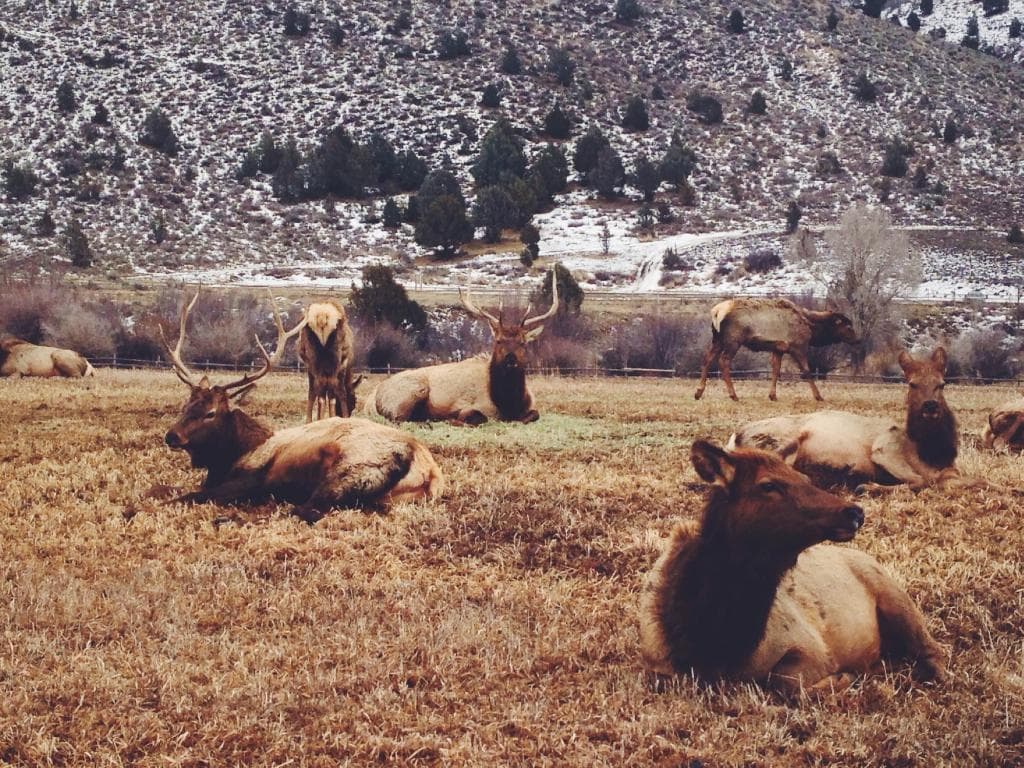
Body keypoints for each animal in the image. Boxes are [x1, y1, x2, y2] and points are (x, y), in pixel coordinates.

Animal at [160, 288, 444, 524]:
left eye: (210, 413)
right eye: (187, 404)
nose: (172, 435)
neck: (236, 453)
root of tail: (427, 472)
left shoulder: (251, 479)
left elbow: (188, 495)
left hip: (348, 472)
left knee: (305, 511)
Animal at [370, 272, 559, 426]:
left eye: (522, 342)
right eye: (498, 341)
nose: (510, 359)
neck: (508, 403)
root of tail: (373, 398)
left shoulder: (531, 407)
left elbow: (535, 414)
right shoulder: (469, 405)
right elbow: (476, 416)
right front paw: (451, 419)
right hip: (411, 392)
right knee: (399, 418)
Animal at [639, 440, 947, 695]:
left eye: (804, 478)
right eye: (767, 485)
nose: (854, 512)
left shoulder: (812, 648)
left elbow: (784, 680)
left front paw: (844, 678)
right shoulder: (659, 667)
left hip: (898, 600)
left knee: (935, 650)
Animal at [693, 298, 859, 402]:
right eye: (848, 326)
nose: (858, 339)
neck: (812, 328)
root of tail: (716, 312)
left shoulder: (778, 348)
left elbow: (775, 370)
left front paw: (772, 395)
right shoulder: (798, 346)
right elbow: (806, 371)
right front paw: (818, 396)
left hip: (717, 340)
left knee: (707, 358)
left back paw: (698, 392)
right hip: (733, 340)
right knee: (724, 361)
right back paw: (733, 395)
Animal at [729, 347, 970, 493]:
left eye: (941, 383)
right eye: (912, 383)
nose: (930, 406)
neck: (931, 453)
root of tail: (735, 437)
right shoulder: (885, 448)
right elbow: (922, 481)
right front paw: (868, 486)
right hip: (782, 440)